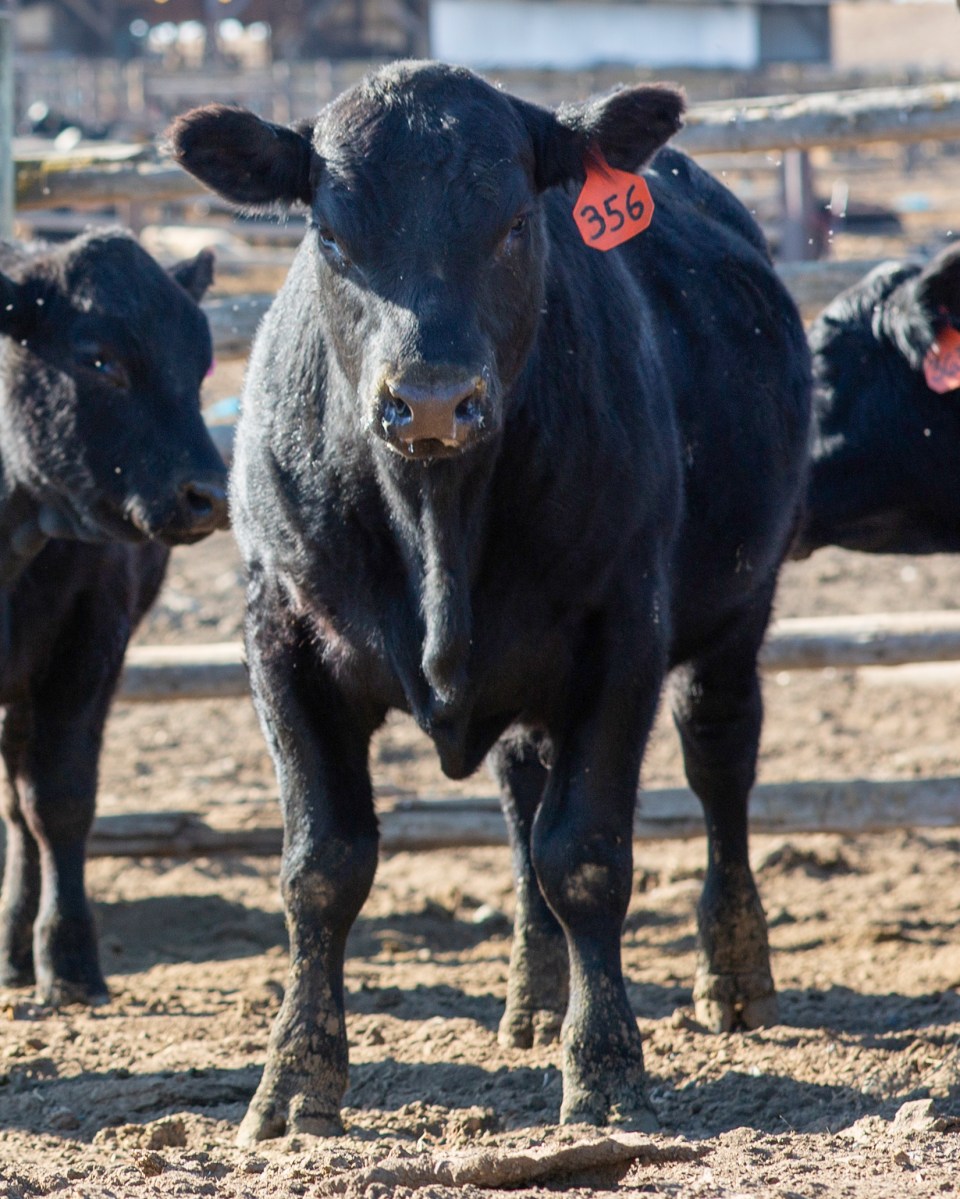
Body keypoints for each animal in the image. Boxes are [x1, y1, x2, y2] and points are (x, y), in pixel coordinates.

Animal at [0, 229, 228, 1006]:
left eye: (200, 363)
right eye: (98, 359)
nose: (208, 494)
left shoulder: (90, 647)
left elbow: (60, 801)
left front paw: (68, 959)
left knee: (20, 808)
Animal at [168, 61, 811, 1141]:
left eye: (515, 220)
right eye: (329, 232)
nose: (430, 398)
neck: (440, 524)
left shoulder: (622, 633)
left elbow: (585, 853)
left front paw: (606, 1069)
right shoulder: (280, 630)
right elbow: (322, 864)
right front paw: (294, 1079)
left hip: (735, 611)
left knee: (720, 763)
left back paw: (732, 972)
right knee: (520, 799)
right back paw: (534, 994)